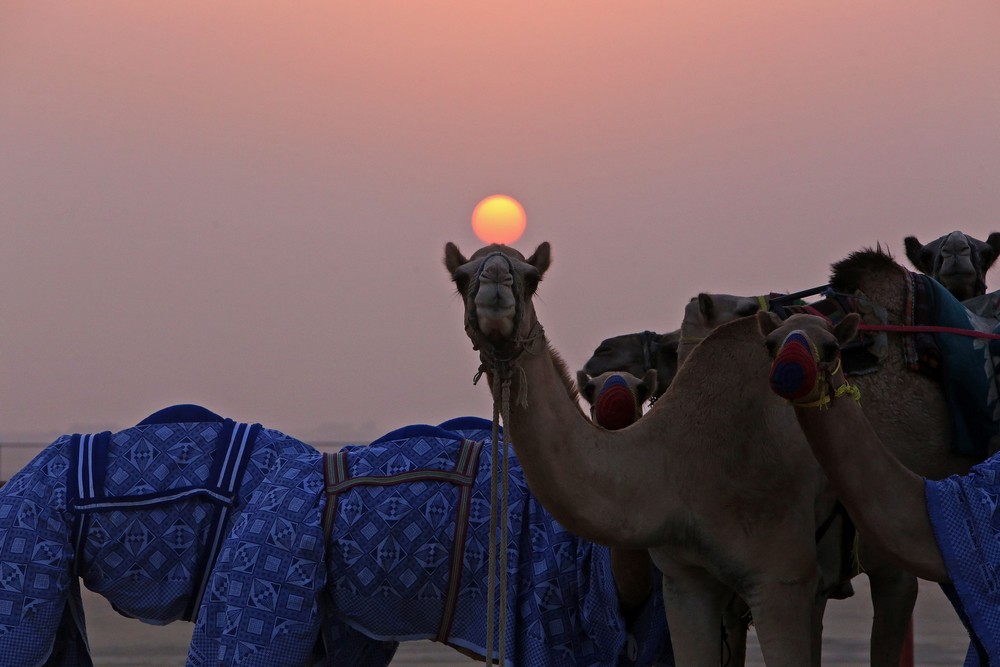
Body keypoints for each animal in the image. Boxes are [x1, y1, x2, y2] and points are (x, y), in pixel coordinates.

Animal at [444, 241, 976, 667]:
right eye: (461, 277)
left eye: (531, 277)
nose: (494, 290)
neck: (681, 461)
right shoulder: (686, 583)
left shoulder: (780, 578)